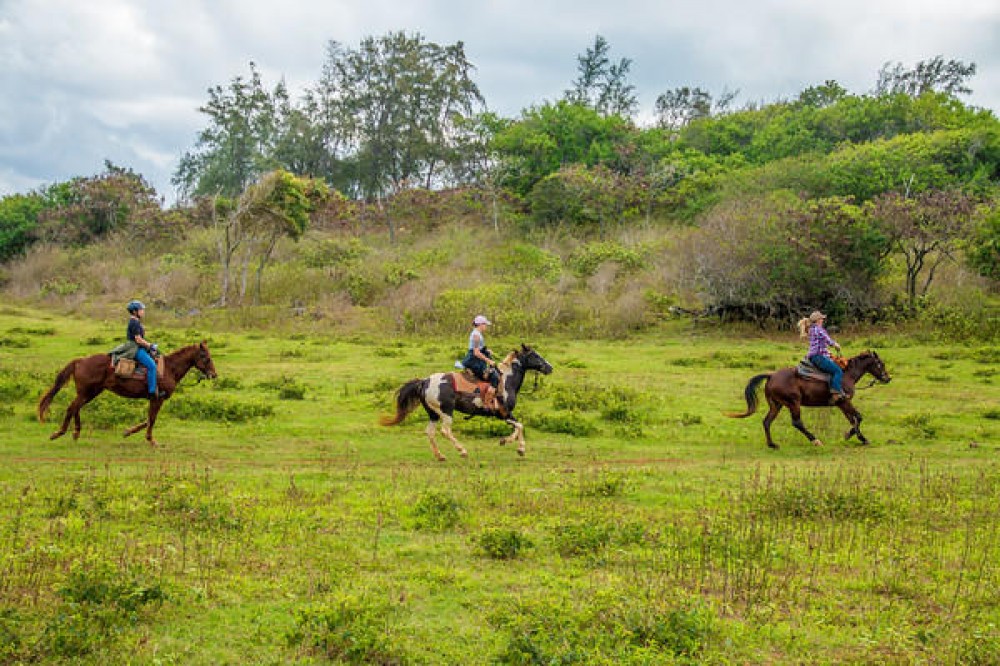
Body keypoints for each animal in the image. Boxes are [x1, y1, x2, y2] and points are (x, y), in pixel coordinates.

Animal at [38, 342, 217, 446]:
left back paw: (75, 433)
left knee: (76, 408)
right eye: (205, 357)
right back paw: (59, 433)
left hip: (91, 392)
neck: (170, 369)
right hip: (87, 392)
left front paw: (128, 432)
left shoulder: (154, 399)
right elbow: (152, 419)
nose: (214, 375)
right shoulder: (158, 398)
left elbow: (148, 419)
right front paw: (151, 440)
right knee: (71, 408)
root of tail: (79, 361)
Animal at [382, 344, 556, 460]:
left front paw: (510, 444)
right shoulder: (503, 413)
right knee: (445, 431)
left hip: (433, 414)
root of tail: (424, 381)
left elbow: (518, 427)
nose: (550, 368)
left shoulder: (505, 415)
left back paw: (440, 456)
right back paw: (462, 451)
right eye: (535, 355)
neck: (506, 381)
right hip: (446, 412)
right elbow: (520, 426)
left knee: (430, 432)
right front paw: (517, 446)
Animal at [728, 350, 892, 448]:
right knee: (797, 422)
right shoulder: (844, 401)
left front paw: (854, 436)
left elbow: (854, 420)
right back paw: (815, 440)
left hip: (776, 405)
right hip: (793, 403)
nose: (887, 378)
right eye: (880, 364)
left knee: (767, 421)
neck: (847, 374)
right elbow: (858, 417)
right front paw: (859, 438)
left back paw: (772, 444)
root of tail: (771, 376)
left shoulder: (841, 404)